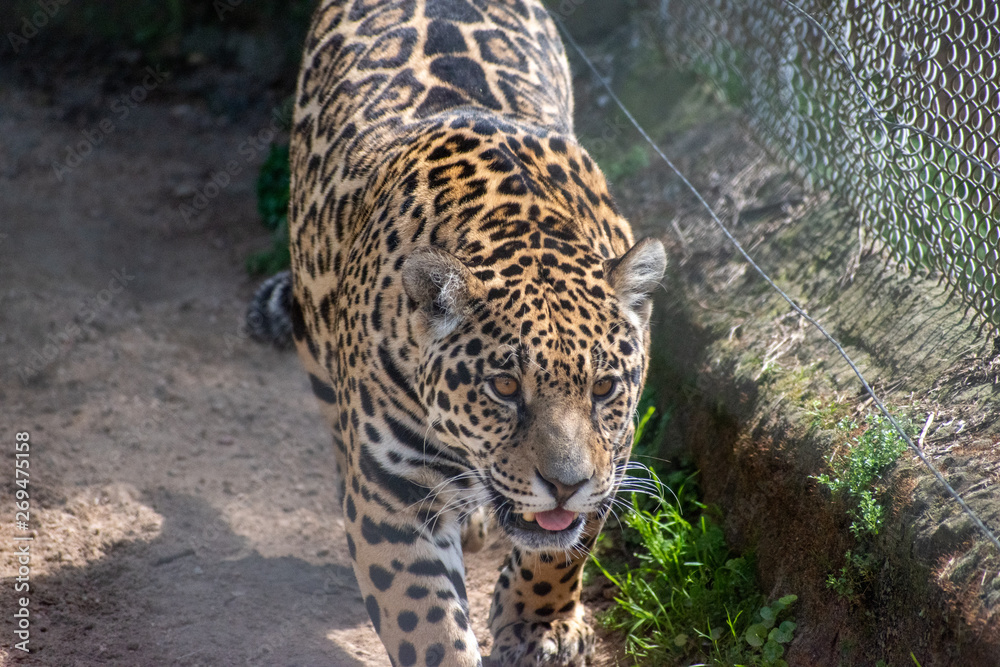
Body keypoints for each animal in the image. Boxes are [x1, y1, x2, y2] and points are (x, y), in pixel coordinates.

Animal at [248, 1, 666, 664]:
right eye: (504, 387)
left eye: (603, 389)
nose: (565, 485)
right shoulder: (393, 493)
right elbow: (426, 622)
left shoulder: (614, 453)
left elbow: (563, 552)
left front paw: (540, 628)